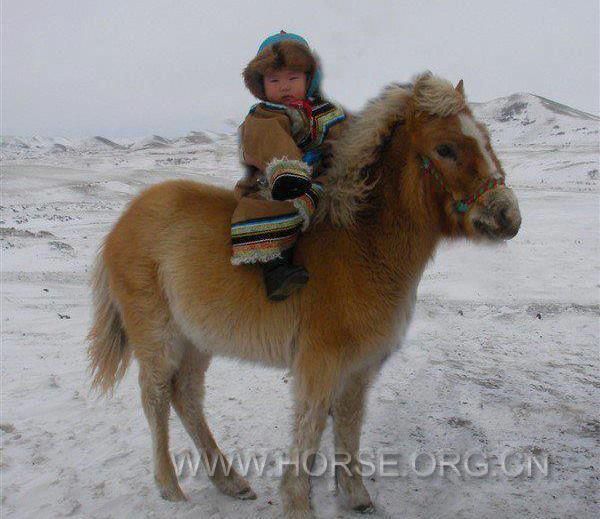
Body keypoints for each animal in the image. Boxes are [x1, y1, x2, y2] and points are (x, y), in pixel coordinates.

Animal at [88, 74, 520, 519]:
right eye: (446, 148)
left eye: (485, 138)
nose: (508, 216)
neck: (362, 245)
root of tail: (123, 223)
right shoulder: (320, 363)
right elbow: (310, 426)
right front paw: (298, 503)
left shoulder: (359, 368)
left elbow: (348, 424)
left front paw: (355, 496)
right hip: (159, 337)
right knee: (155, 396)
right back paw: (170, 487)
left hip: (197, 340)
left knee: (186, 396)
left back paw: (229, 481)